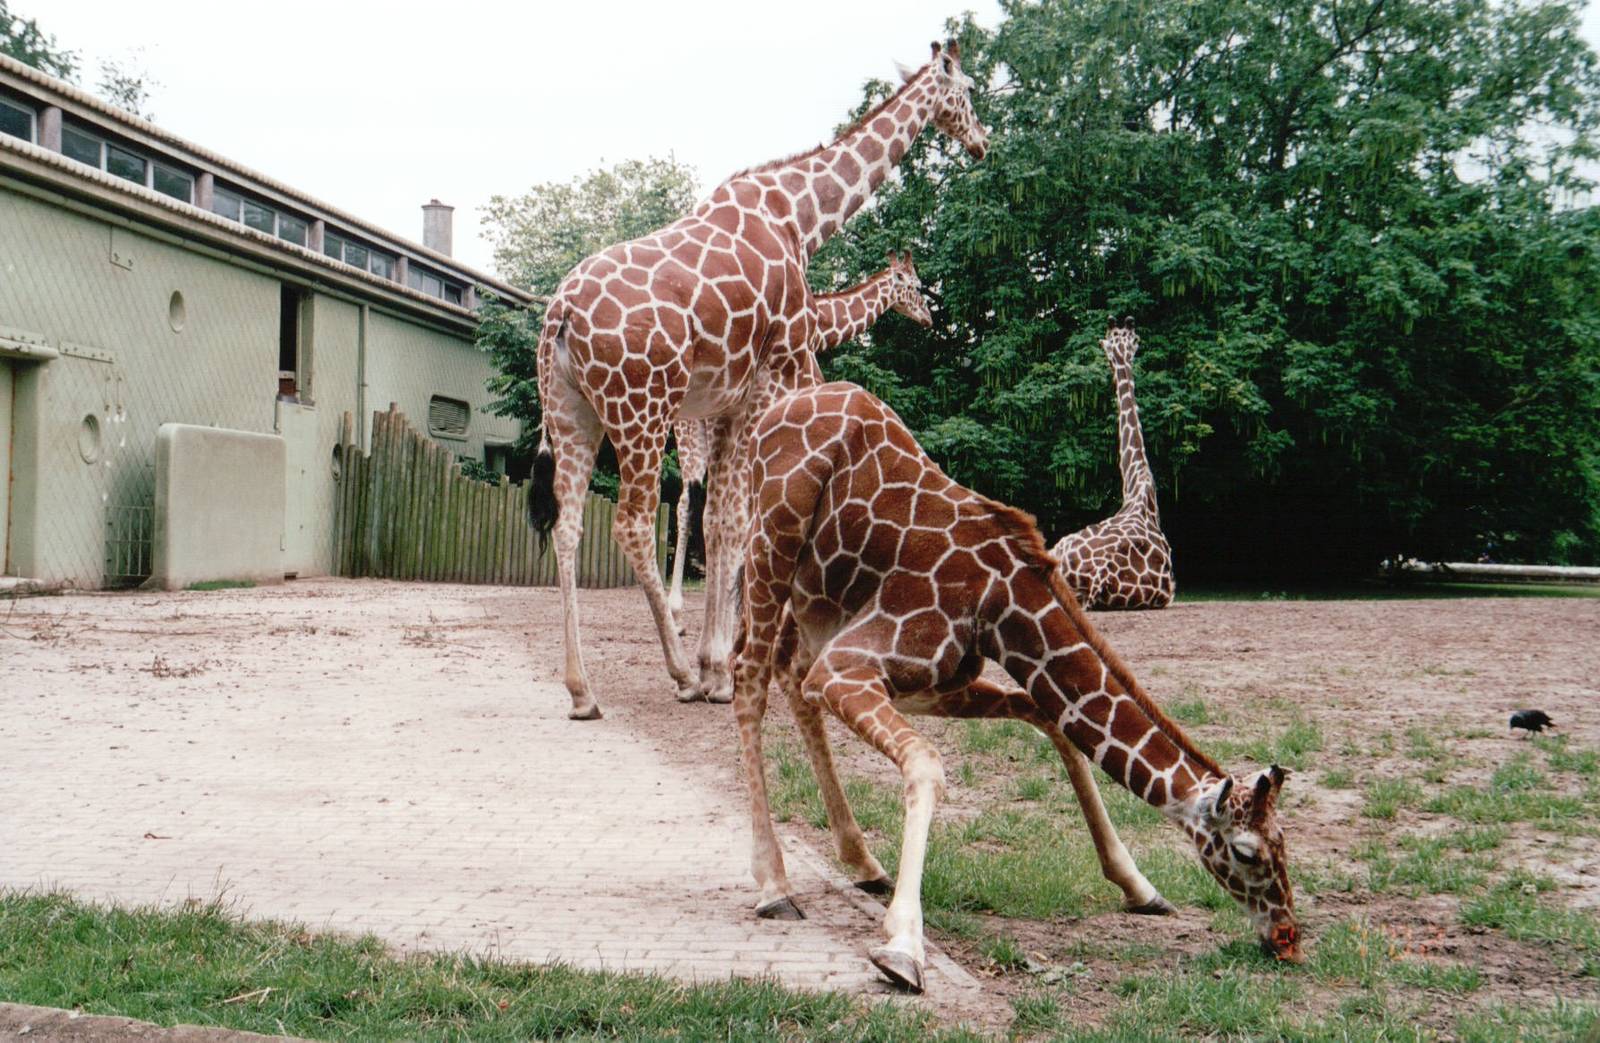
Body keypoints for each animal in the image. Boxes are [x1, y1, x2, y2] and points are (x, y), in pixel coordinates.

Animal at [731, 381, 1301, 992]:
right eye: (1247, 853)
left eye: (1284, 842)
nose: (1288, 938)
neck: (1001, 605)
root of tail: (781, 408)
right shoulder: (846, 666)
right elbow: (927, 764)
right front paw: (903, 947)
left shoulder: (937, 684)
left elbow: (1047, 716)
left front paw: (1140, 886)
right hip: (771, 541)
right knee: (749, 678)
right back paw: (774, 887)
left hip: (814, 598)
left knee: (789, 676)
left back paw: (863, 863)